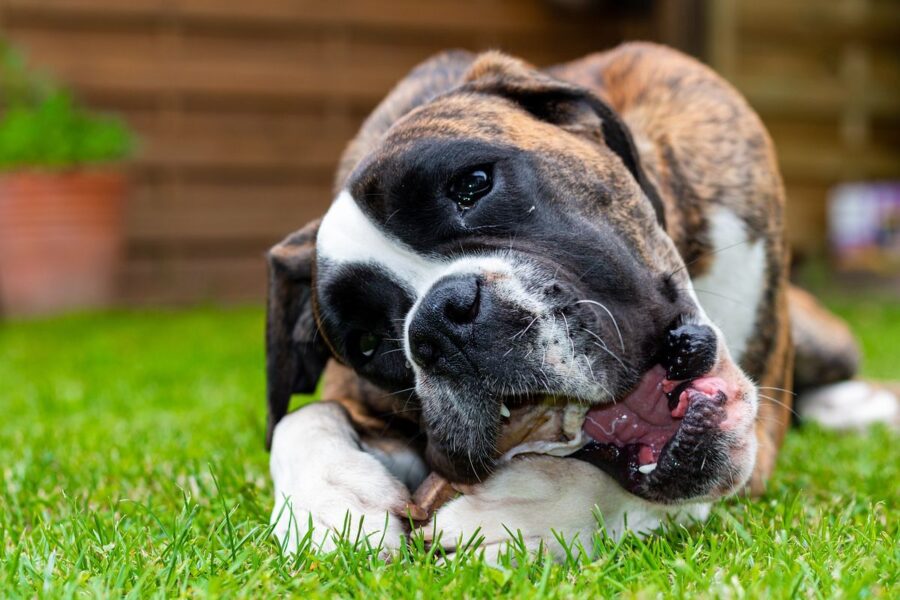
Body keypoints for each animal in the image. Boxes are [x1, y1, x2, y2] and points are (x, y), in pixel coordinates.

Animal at [264, 42, 896, 556]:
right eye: (370, 343)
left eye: (474, 184)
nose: (439, 323)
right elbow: (300, 417)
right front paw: (332, 506)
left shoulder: (755, 431)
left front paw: (512, 512)